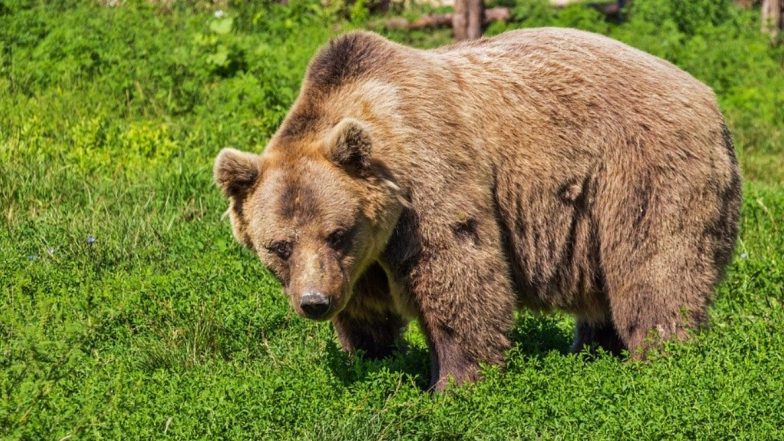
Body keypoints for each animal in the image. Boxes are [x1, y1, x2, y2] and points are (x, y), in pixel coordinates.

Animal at [213, 28, 741, 390]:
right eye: (279, 246)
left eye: (336, 232)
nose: (314, 302)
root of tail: (708, 96)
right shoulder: (361, 260)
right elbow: (366, 311)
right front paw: (372, 358)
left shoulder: (429, 183)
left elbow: (458, 274)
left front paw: (454, 382)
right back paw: (593, 350)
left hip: (642, 172)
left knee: (655, 269)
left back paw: (660, 358)